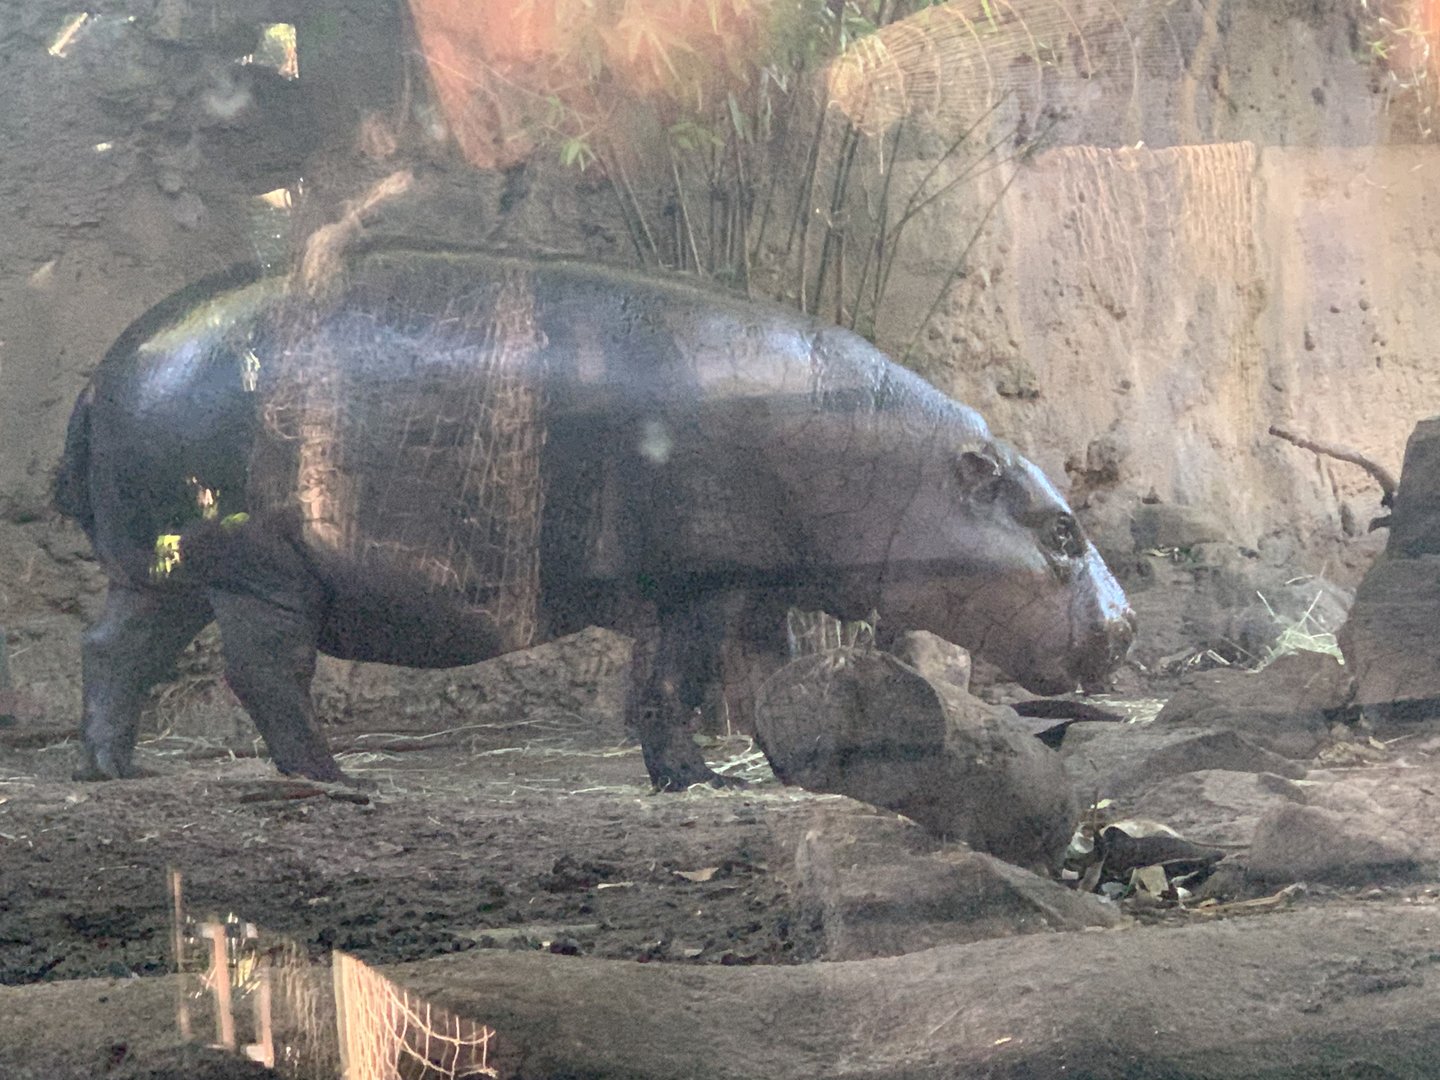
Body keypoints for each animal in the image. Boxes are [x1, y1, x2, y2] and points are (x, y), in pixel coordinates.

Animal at [53, 244, 1134, 790]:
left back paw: (114, 770)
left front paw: (783, 768)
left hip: (172, 573)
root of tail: (103, 371)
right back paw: (338, 780)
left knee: (114, 651)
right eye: (1063, 531)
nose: (1126, 626)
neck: (890, 459)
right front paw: (697, 780)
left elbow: (764, 677)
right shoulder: (697, 584)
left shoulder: (751, 586)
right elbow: (674, 685)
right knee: (266, 673)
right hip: (261, 573)